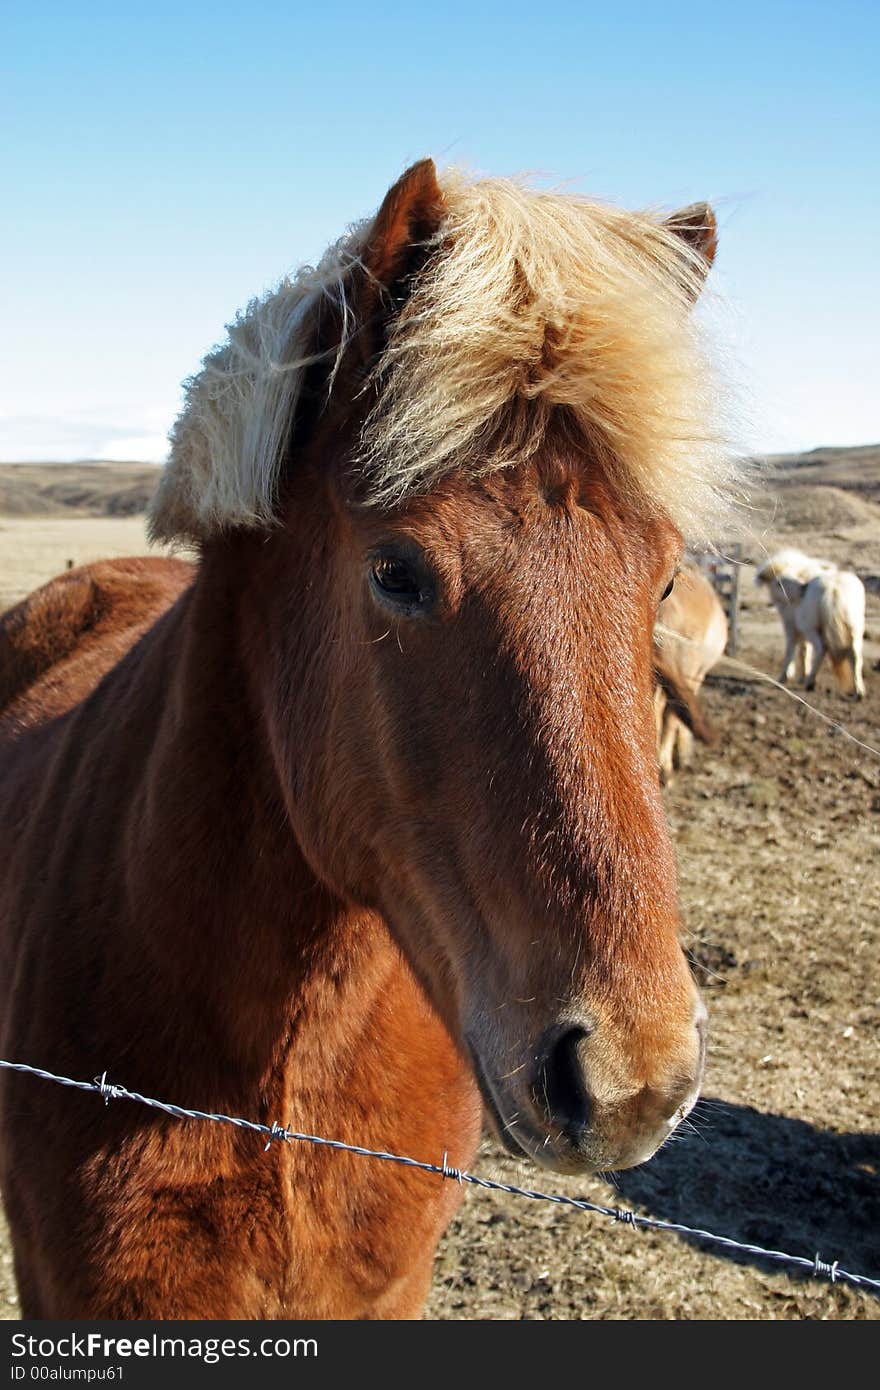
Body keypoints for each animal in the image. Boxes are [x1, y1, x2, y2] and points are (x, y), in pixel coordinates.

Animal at [756, 542, 867, 695]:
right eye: (778, 583)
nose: (803, 589)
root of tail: (834, 588)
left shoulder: (791, 625)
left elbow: (791, 649)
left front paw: (785, 676)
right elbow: (804, 650)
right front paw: (801, 676)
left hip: (812, 626)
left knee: (821, 648)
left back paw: (811, 682)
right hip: (854, 626)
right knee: (855, 655)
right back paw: (859, 690)